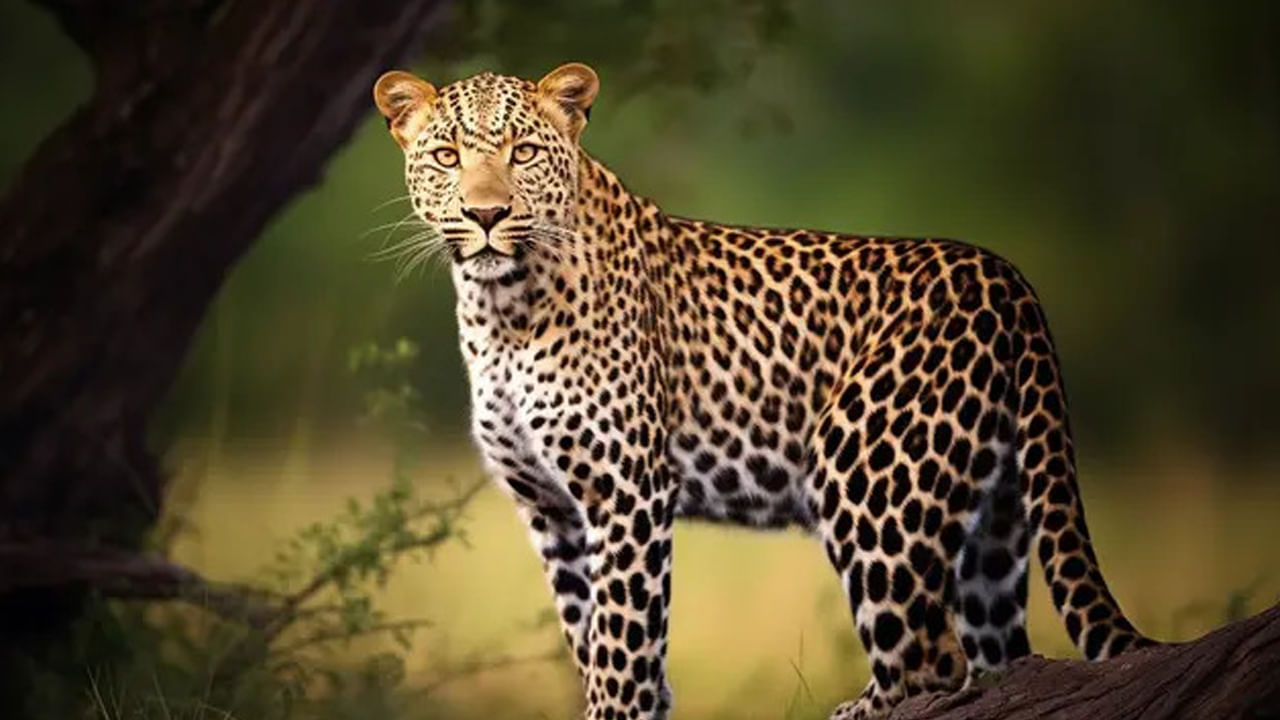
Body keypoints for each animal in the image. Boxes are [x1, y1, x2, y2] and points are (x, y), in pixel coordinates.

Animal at [372, 62, 1157, 719]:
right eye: (447, 157)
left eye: (524, 154)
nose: (486, 215)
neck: (499, 308)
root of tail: (1010, 278)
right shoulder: (552, 510)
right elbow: (594, 641)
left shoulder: (627, 494)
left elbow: (622, 646)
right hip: (996, 517)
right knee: (1001, 656)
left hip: (867, 478)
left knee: (928, 659)